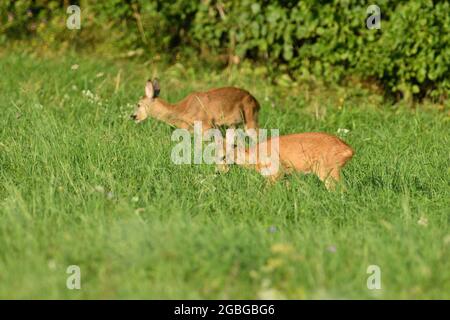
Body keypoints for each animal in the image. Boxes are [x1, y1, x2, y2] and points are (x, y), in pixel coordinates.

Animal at [131, 79, 260, 131]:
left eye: (138, 104)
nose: (132, 116)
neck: (181, 110)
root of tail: (257, 102)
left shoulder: (206, 124)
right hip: (234, 124)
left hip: (250, 118)